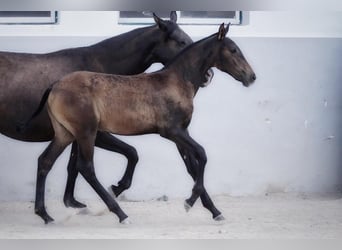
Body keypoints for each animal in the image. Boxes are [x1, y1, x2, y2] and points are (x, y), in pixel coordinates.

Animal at [0, 11, 202, 209]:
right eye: (181, 41)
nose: (204, 73)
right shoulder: (94, 133)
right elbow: (130, 152)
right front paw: (116, 188)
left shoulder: (77, 136)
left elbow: (73, 167)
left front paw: (71, 201)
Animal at [26, 22, 255, 224]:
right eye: (234, 50)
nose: (251, 77)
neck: (178, 81)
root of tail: (55, 86)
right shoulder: (171, 131)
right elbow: (202, 154)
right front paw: (189, 202)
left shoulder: (181, 133)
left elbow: (192, 166)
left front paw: (215, 211)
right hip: (86, 132)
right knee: (86, 167)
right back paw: (120, 214)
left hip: (65, 133)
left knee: (45, 161)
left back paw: (45, 215)